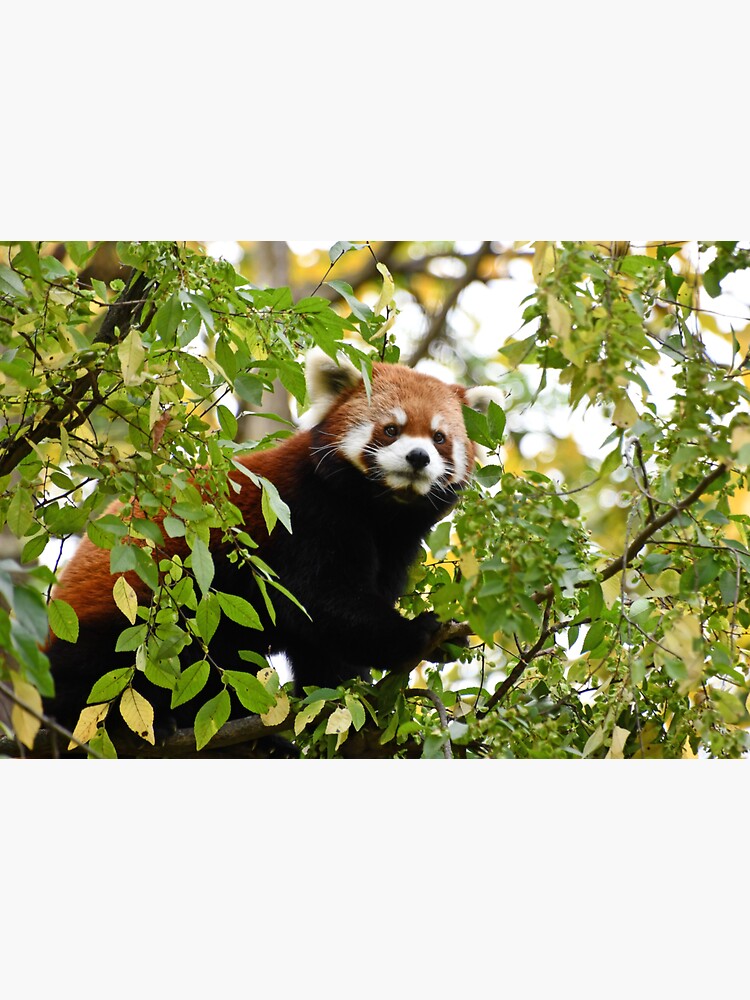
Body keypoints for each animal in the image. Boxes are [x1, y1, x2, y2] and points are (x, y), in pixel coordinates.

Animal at [45, 352, 506, 736]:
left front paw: (343, 695)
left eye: (439, 437)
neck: (378, 510)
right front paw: (417, 632)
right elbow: (320, 604)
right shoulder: (301, 516)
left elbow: (326, 640)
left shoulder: (396, 544)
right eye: (392, 430)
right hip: (128, 619)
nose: (418, 457)